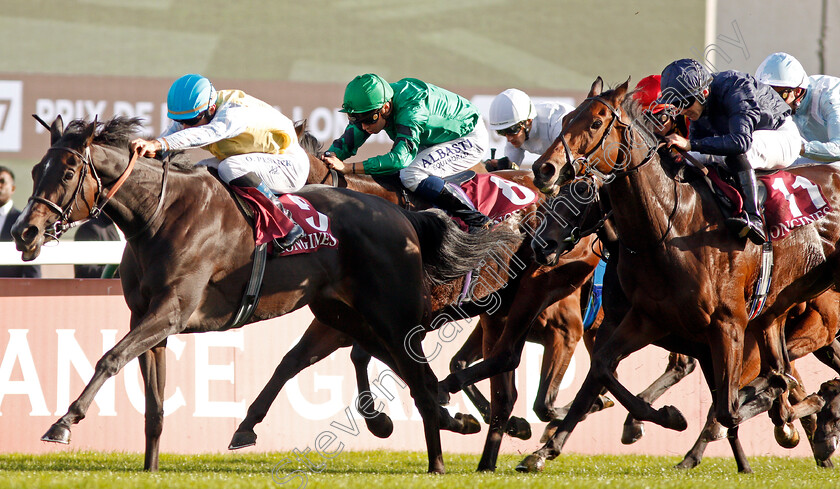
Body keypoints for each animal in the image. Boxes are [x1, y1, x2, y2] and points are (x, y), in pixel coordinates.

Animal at [9, 115, 520, 472]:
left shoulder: (172, 312)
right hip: (342, 314)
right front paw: (150, 467)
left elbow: (109, 358)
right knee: (400, 370)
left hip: (393, 315)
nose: (24, 232)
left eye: (69, 171)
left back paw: (440, 453)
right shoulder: (147, 319)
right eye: (36, 169)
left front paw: (63, 424)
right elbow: (153, 402)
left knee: (418, 373)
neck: (161, 215)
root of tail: (404, 216)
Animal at [520, 77, 840, 472]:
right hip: (773, 314)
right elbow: (601, 370)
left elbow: (728, 407)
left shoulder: (726, 326)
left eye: (595, 123)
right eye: (565, 119)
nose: (544, 169)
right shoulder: (645, 319)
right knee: (778, 365)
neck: (669, 227)